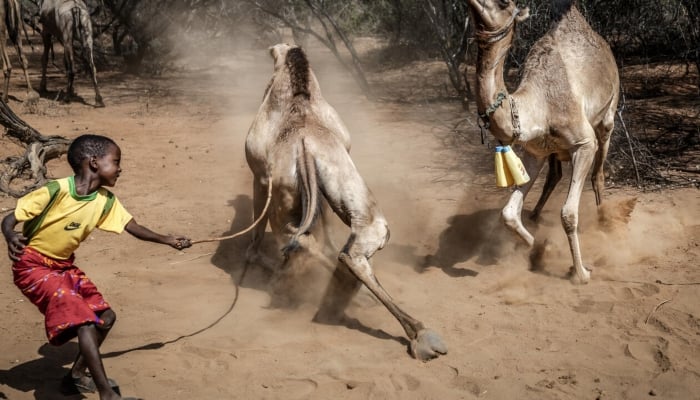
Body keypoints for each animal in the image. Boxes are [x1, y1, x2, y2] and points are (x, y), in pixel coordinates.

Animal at [245, 43, 447, 361]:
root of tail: (303, 145)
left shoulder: (261, 176)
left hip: (288, 190)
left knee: (303, 240)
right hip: (340, 184)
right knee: (352, 243)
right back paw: (419, 334)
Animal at [466, 0, 620, 284]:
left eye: (503, 3)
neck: (539, 107)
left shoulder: (584, 143)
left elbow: (568, 213)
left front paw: (581, 273)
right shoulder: (534, 152)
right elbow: (508, 214)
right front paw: (536, 246)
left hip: (607, 117)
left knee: (598, 173)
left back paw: (605, 223)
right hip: (555, 150)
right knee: (555, 174)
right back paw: (536, 216)